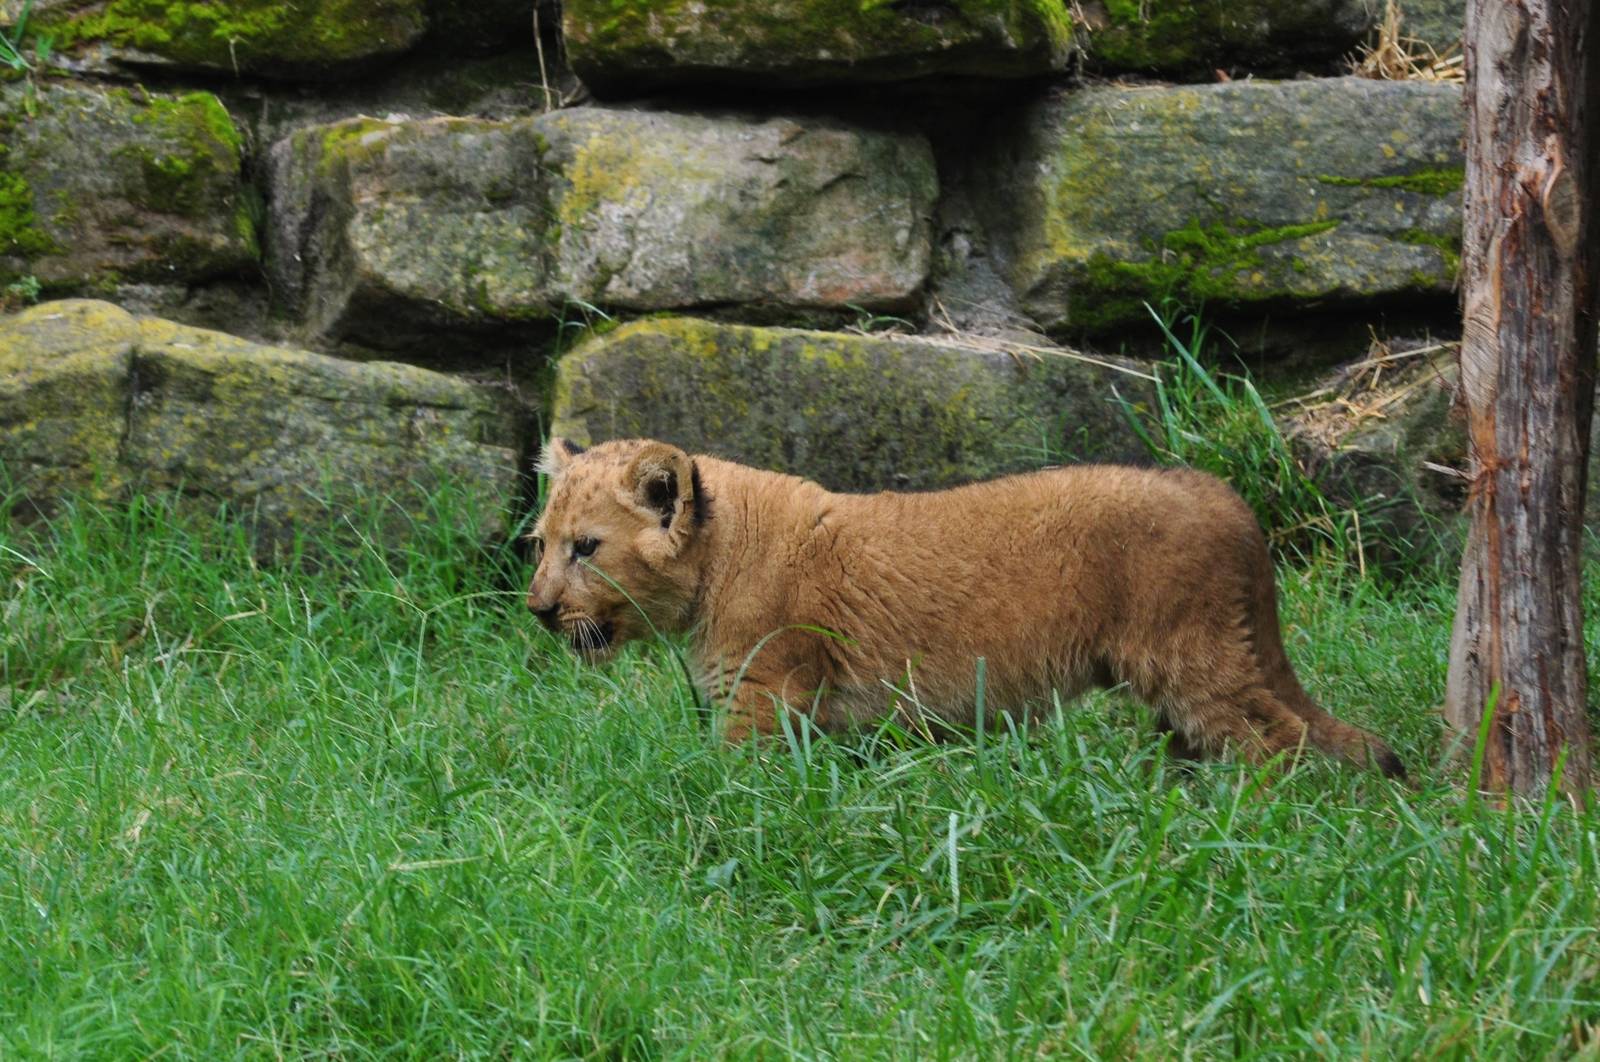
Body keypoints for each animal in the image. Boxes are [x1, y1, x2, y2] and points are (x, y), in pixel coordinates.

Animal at [525, 437, 1405, 777]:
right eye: (540, 542)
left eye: (587, 549)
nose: (537, 610)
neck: (715, 561)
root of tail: (1220, 494)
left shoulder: (767, 696)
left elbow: (730, 786)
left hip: (1196, 659)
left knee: (1277, 742)